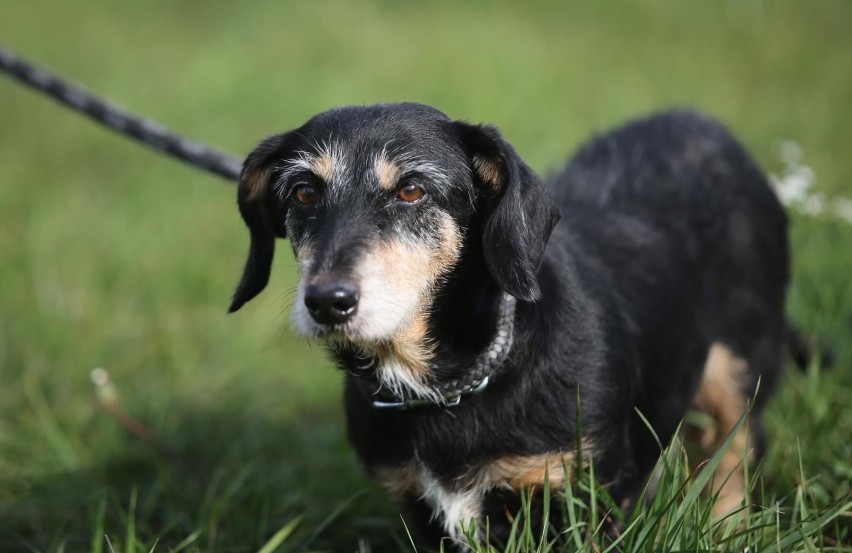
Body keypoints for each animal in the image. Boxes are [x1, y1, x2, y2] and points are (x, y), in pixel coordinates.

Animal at [228, 104, 792, 548]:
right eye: (303, 193)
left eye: (411, 190)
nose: (327, 302)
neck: (452, 390)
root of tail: (704, 125)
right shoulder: (416, 505)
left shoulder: (582, 494)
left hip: (736, 373)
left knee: (736, 455)